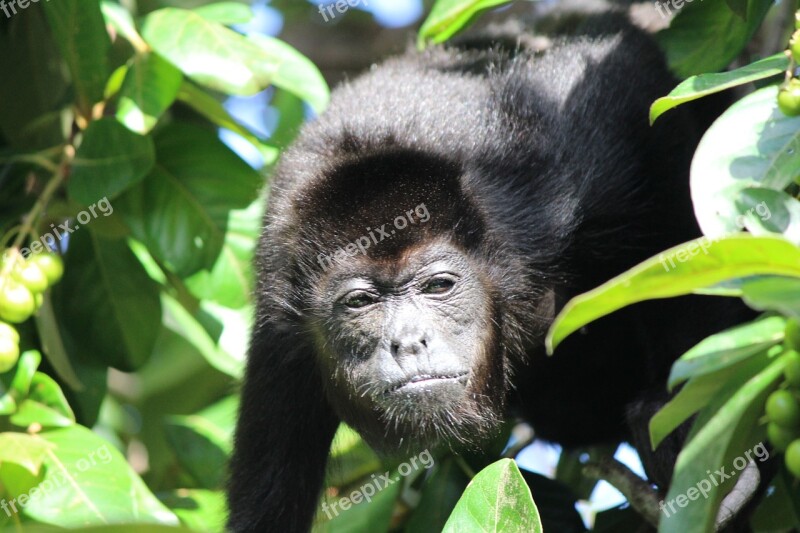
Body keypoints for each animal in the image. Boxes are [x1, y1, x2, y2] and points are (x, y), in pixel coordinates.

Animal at [223, 14, 744, 528]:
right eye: (360, 301)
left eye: (438, 286)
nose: (409, 342)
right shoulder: (281, 337)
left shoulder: (552, 170)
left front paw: (682, 416)